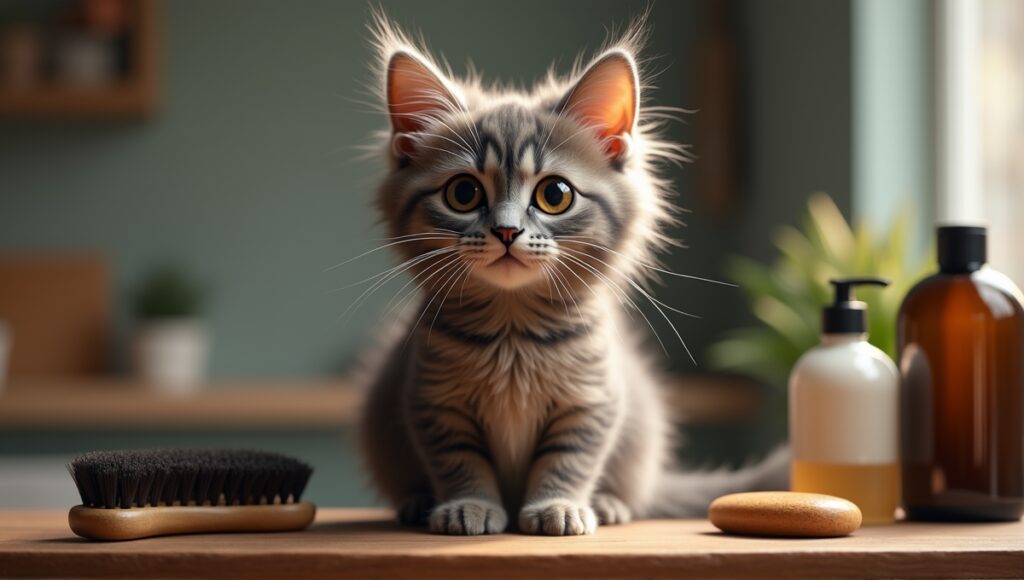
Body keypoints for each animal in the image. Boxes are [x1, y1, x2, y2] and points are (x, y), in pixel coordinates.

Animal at [356, 13, 778, 536]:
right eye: (463, 194)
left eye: (554, 194)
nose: (507, 230)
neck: (512, 333)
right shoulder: (433, 403)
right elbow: (460, 462)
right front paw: (468, 506)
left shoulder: (593, 403)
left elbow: (569, 460)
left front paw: (557, 506)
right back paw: (416, 502)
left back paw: (610, 504)